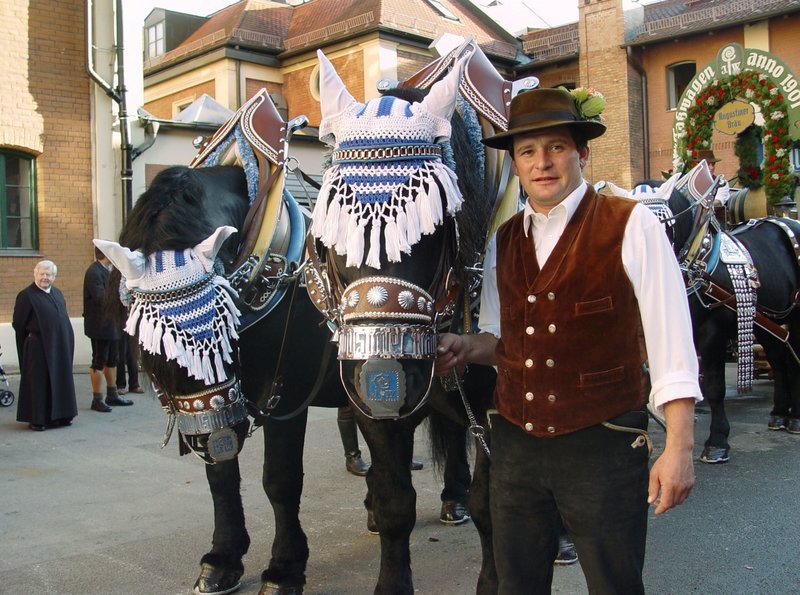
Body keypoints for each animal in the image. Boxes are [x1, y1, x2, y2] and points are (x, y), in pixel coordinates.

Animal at [640, 179, 800, 464]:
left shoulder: (712, 332)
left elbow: (714, 386)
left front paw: (717, 441)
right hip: (768, 321)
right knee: (779, 361)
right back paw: (780, 414)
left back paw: (795, 419)